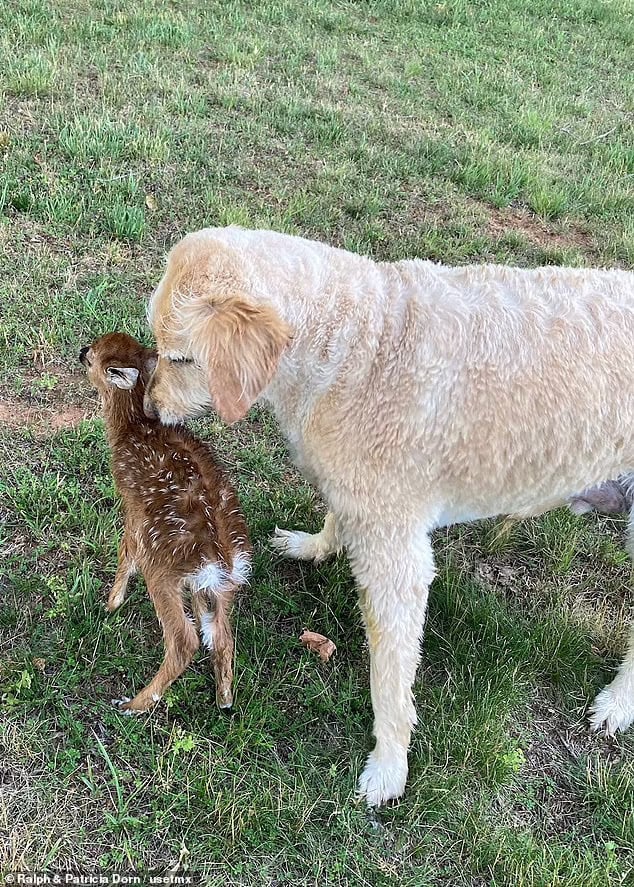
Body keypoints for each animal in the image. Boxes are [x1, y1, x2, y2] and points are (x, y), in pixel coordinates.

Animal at [143, 225, 632, 808]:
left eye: (181, 359)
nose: (148, 410)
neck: (354, 342)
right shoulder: (355, 493)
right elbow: (336, 517)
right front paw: (314, 546)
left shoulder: (397, 555)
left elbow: (391, 678)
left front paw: (390, 766)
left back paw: (618, 703)